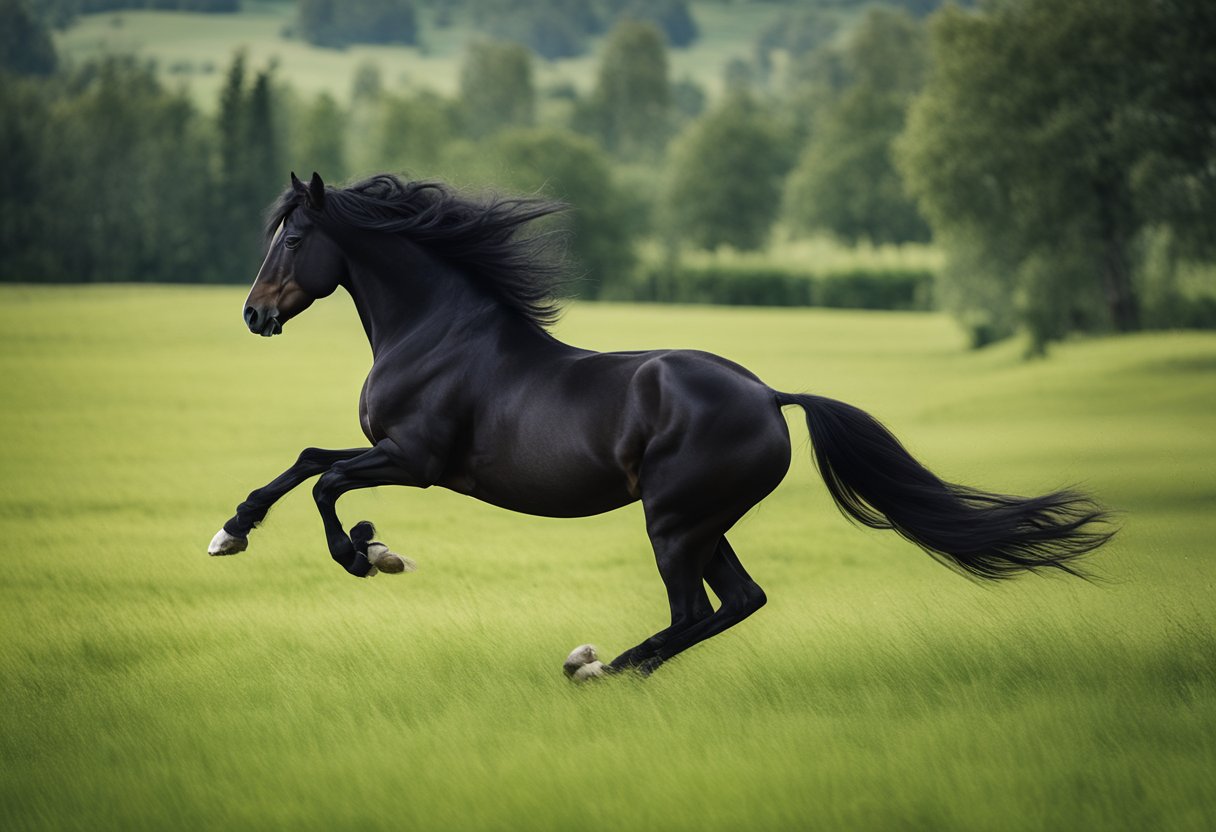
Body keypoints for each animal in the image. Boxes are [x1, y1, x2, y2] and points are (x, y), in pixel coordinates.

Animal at [206, 172, 1113, 681]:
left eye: (294, 235)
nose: (252, 314)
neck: (435, 332)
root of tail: (772, 395)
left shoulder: (416, 459)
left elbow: (326, 481)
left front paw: (369, 553)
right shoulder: (389, 451)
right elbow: (305, 460)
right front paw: (232, 532)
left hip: (672, 520)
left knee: (691, 612)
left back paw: (596, 667)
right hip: (705, 522)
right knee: (737, 601)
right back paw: (609, 666)